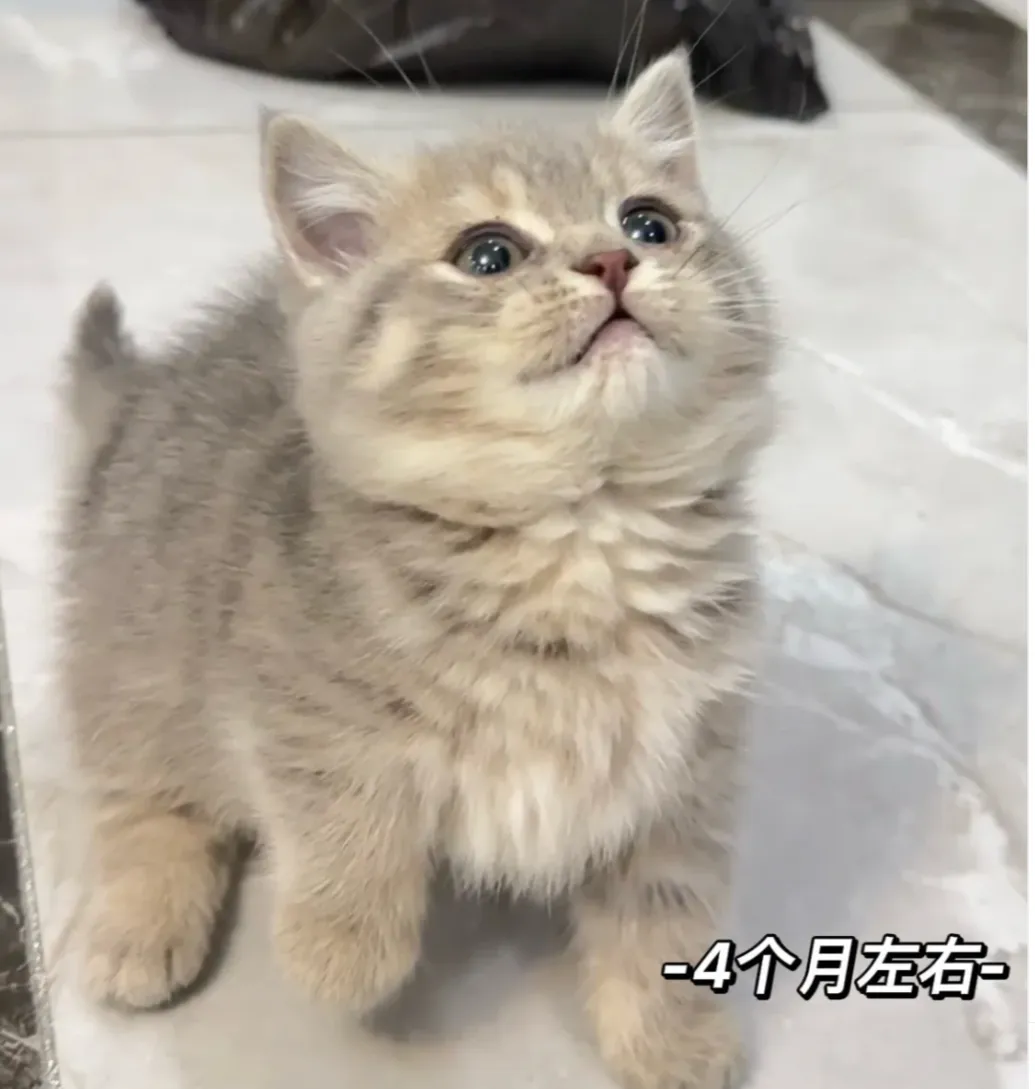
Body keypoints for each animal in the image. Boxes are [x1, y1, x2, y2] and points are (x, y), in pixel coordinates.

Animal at [57, 50, 774, 1089]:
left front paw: (670, 1036)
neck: (581, 529)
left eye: (649, 222)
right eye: (488, 254)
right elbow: (346, 813)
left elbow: (664, 910)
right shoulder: (296, 703)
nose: (612, 261)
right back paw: (141, 926)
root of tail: (141, 393)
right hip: (135, 651)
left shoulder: (685, 767)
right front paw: (341, 945)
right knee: (143, 798)